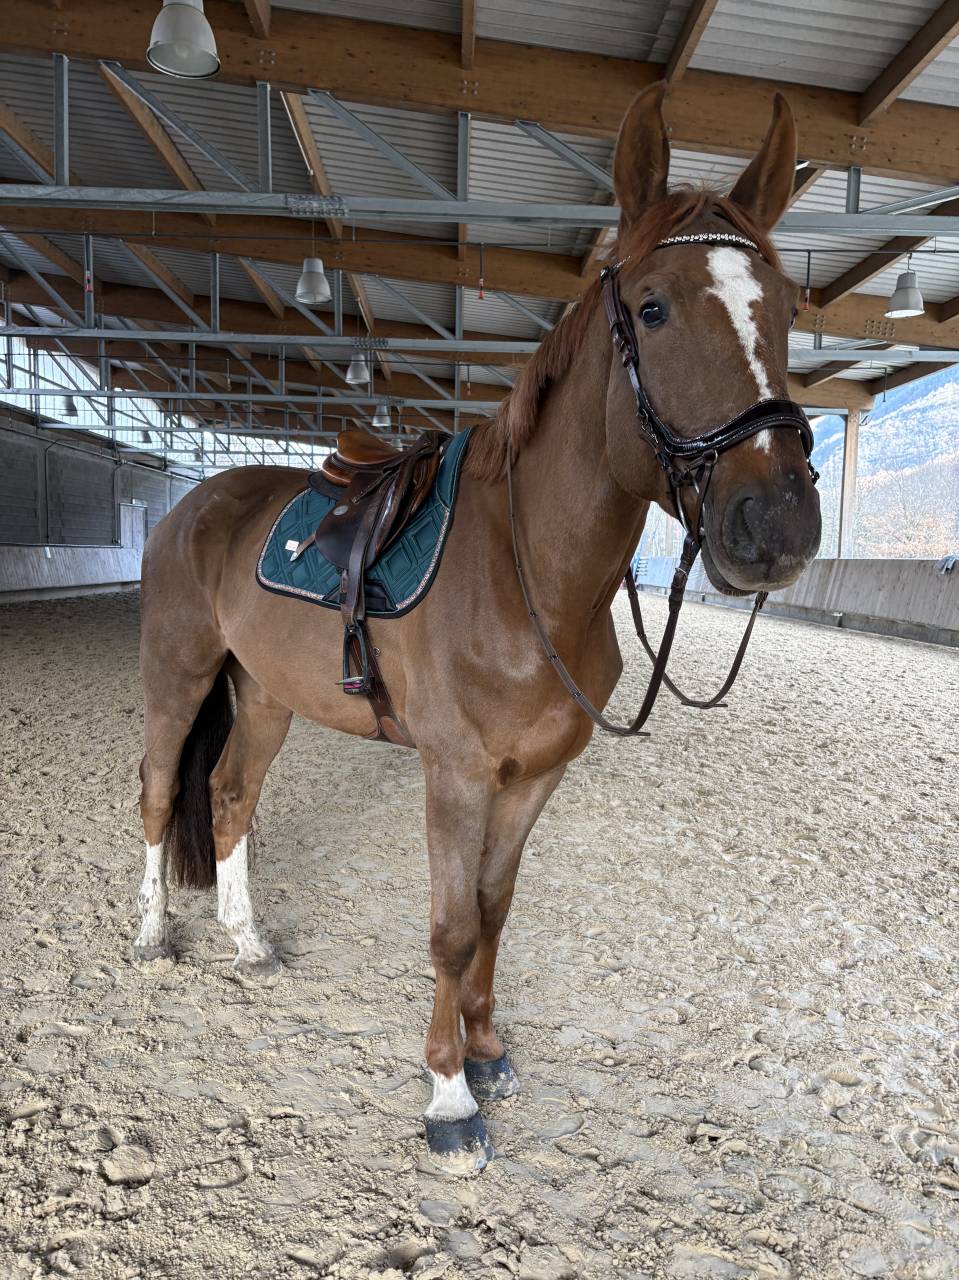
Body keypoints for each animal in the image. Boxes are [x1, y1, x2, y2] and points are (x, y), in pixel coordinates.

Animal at [134, 83, 822, 1175]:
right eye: (654, 308)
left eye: (787, 308)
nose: (777, 523)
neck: (525, 575)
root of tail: (197, 502)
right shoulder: (453, 773)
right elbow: (452, 926)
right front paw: (449, 1096)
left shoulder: (533, 775)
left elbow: (495, 910)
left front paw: (489, 1050)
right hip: (180, 672)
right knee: (162, 794)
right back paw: (154, 937)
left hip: (265, 695)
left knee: (232, 798)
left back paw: (248, 943)